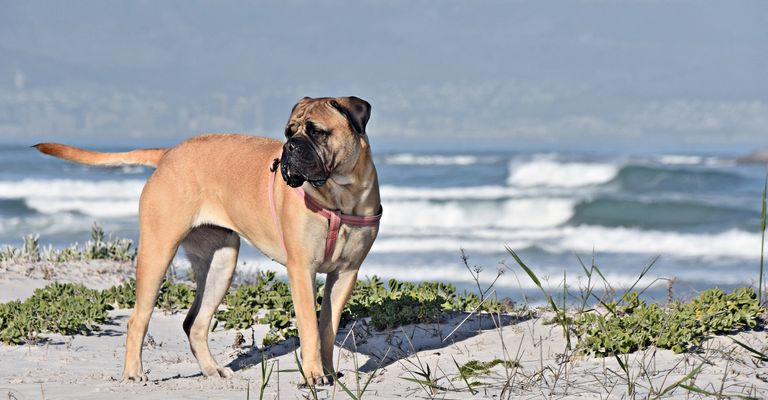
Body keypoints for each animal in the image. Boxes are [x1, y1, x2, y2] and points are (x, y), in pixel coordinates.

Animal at [34, 95, 382, 386]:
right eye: (288, 132)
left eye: (317, 131)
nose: (290, 149)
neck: (340, 194)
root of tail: (169, 153)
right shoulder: (301, 269)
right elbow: (310, 327)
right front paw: (313, 375)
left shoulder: (345, 274)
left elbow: (328, 327)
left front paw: (327, 371)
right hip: (158, 251)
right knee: (138, 319)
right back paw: (134, 373)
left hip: (221, 261)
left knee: (195, 324)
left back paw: (212, 369)